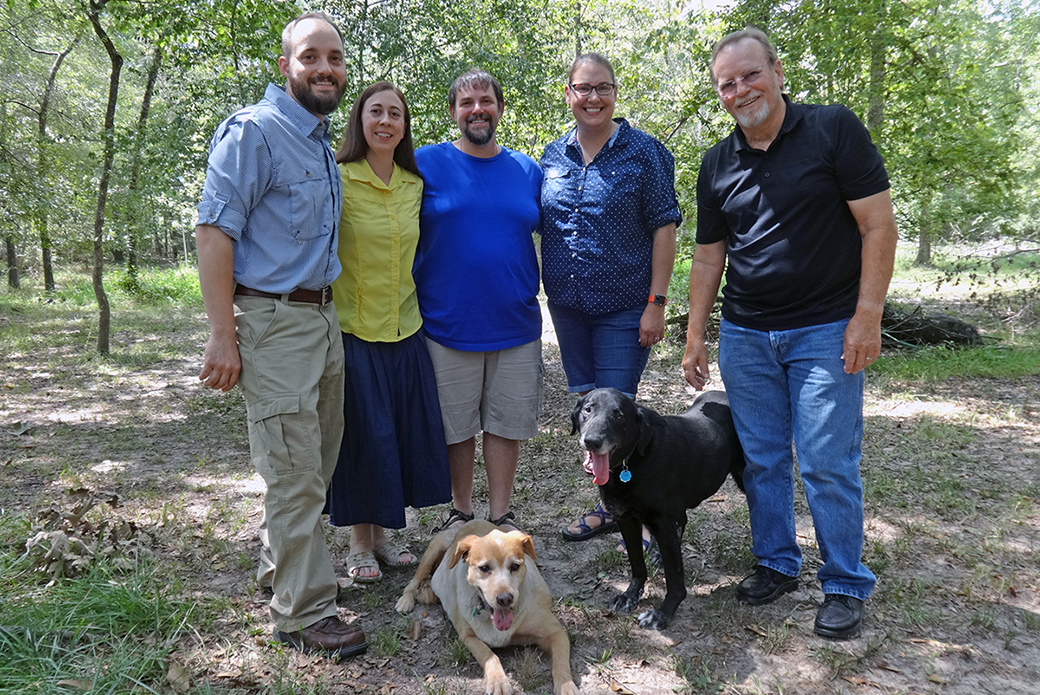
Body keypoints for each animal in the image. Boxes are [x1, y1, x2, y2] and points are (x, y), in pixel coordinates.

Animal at [395, 518, 578, 690]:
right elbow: (489, 655)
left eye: (515, 566)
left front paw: (567, 687)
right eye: (484, 568)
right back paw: (405, 600)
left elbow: (561, 665)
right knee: (414, 580)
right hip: (433, 550)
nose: (505, 599)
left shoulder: (556, 632)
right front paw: (498, 681)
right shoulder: (468, 637)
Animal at [569, 389, 748, 632]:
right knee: (682, 520)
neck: (634, 459)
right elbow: (637, 564)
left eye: (618, 415)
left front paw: (663, 613)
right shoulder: (626, 520)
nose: (592, 441)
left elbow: (675, 577)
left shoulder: (663, 523)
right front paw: (630, 595)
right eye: (588, 409)